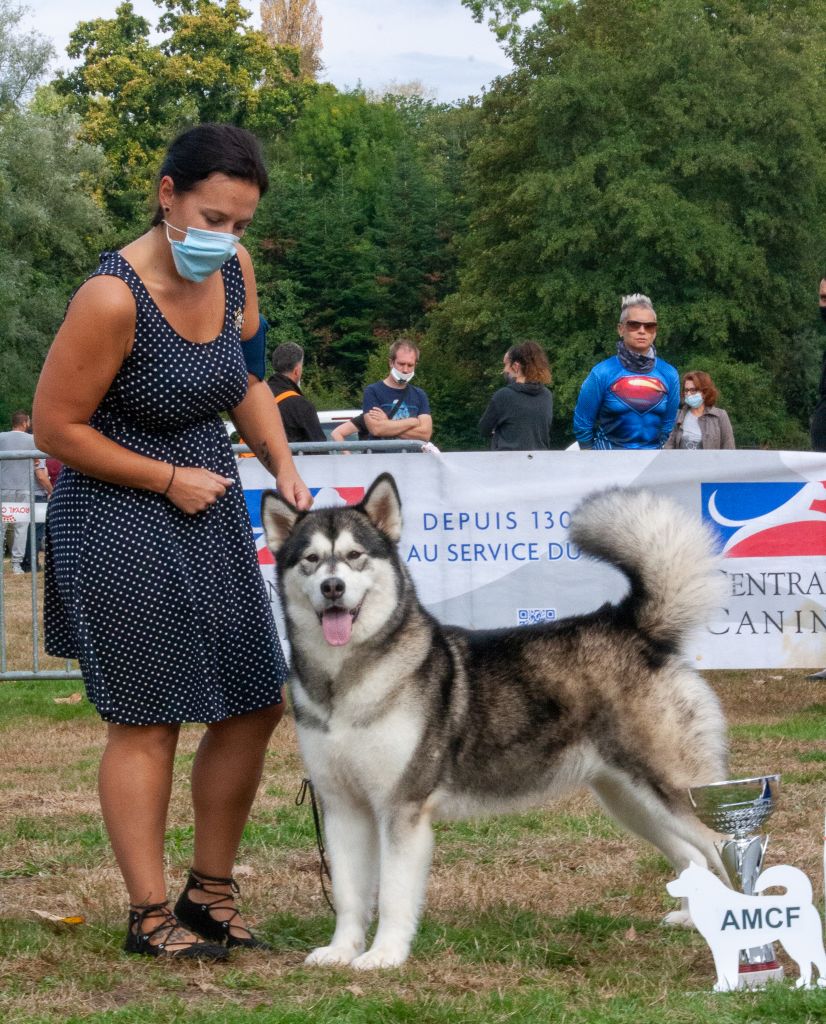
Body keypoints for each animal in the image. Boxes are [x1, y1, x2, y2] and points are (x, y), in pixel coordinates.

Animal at [262, 474, 729, 970]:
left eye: (354, 555)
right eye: (311, 560)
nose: (332, 587)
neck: (344, 682)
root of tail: (630, 626)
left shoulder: (402, 808)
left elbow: (391, 894)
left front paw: (384, 954)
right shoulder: (343, 807)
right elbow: (350, 894)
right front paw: (341, 950)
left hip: (675, 791)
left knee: (727, 847)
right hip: (630, 799)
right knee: (691, 855)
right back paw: (696, 918)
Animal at [668, 862, 826, 990]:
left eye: (685, 879)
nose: (667, 886)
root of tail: (803, 899)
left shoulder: (725, 947)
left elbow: (726, 970)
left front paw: (727, 987)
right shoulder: (719, 948)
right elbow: (723, 970)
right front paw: (722, 987)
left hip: (798, 943)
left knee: (818, 959)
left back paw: (821, 982)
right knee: (806, 963)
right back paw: (802, 985)